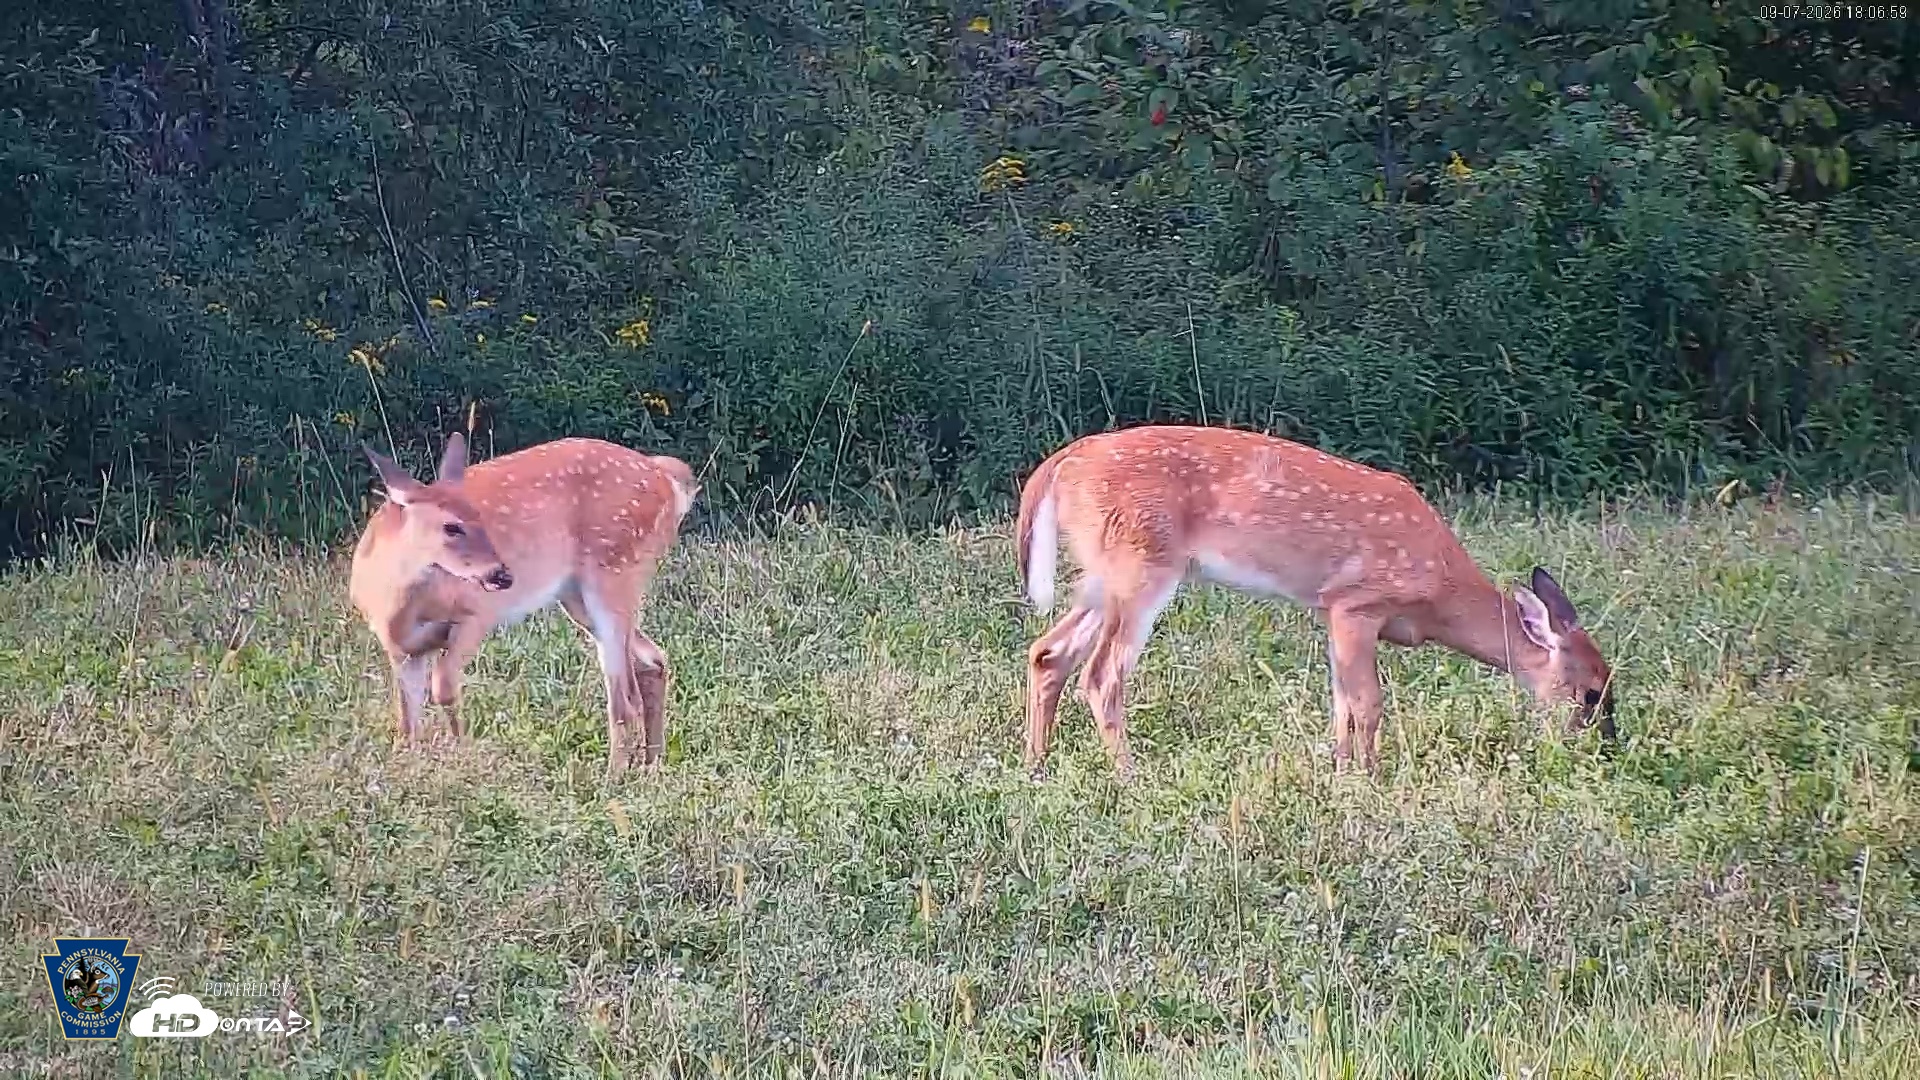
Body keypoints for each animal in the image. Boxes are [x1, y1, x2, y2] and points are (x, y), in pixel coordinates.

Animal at [349, 432, 698, 779]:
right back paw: (651, 767)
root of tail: (667, 477)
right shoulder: (402, 650)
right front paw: (407, 767)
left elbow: (444, 687)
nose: (502, 574)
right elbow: (407, 721)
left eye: (480, 516)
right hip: (579, 598)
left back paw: (614, 777)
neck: (398, 606)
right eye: (451, 527)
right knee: (653, 661)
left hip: (614, 573)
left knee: (626, 697)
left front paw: (461, 758)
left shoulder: (477, 614)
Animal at [1015, 425, 1615, 779]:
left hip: (1104, 574)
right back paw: (1129, 774)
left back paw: (1036, 765)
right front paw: (1369, 778)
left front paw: (1340, 771)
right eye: (1589, 694)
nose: (1606, 748)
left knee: (1048, 653)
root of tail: (1061, 464)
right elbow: (1367, 703)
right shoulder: (1358, 603)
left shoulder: (1332, 613)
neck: (1439, 592)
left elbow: (1341, 702)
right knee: (1101, 675)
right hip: (1142, 565)